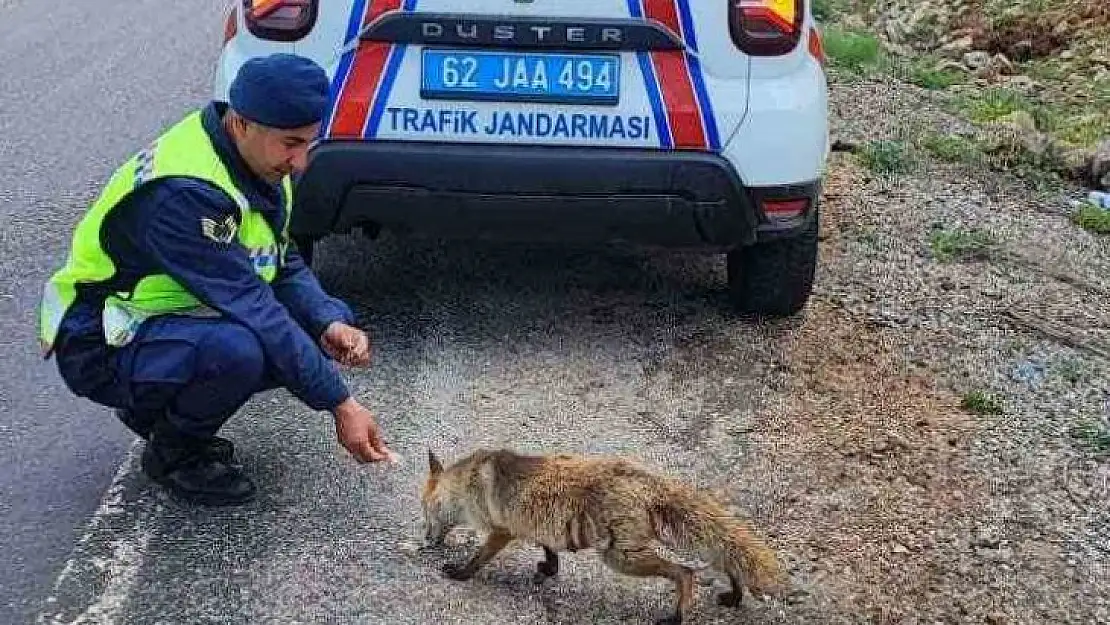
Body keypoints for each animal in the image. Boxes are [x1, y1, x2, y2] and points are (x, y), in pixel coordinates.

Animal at [417, 448, 790, 621]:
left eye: (424, 511)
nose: (425, 541)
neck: (468, 486)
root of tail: (644, 477)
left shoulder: (501, 531)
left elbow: (477, 559)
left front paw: (459, 574)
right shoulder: (538, 526)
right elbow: (549, 551)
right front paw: (548, 569)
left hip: (620, 557)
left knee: (685, 572)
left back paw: (677, 616)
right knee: (726, 561)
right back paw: (735, 595)